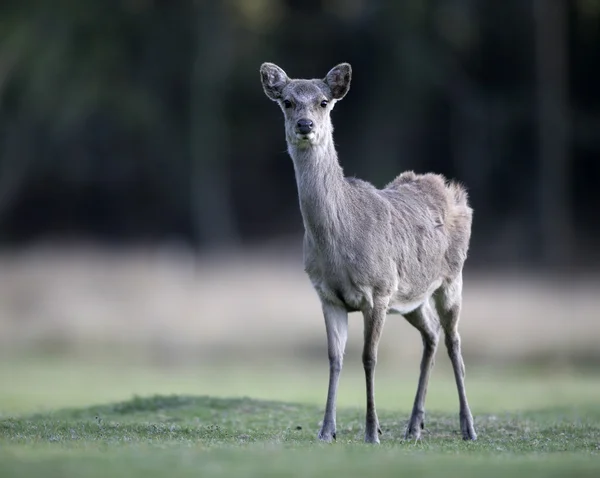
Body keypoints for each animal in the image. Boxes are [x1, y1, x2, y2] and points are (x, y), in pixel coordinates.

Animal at [260, 61, 476, 442]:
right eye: (287, 102)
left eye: (324, 102)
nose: (305, 125)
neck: (339, 244)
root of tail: (454, 192)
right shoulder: (327, 295)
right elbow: (335, 358)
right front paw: (326, 431)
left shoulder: (379, 290)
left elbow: (369, 358)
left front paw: (372, 431)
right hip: (412, 298)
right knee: (432, 335)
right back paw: (413, 426)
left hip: (452, 278)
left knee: (454, 341)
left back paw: (468, 427)